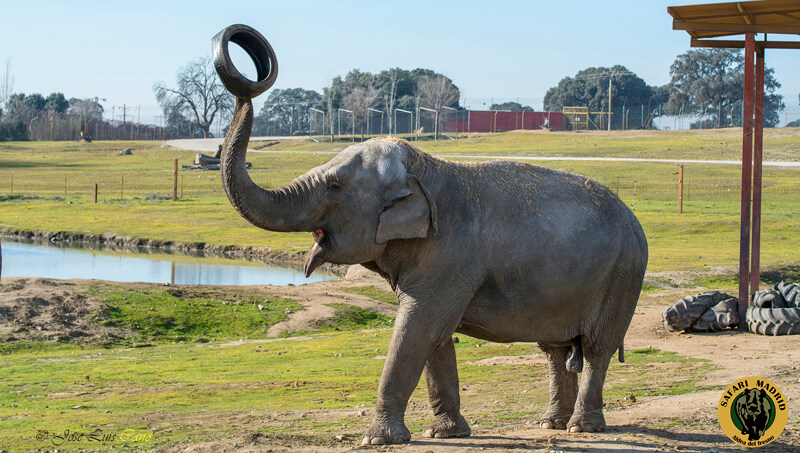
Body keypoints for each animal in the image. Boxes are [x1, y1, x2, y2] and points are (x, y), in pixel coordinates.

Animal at [209, 24, 648, 444]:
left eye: (334, 186)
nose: (245, 86)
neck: (426, 166)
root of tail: (634, 219)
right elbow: (436, 339)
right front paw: (445, 432)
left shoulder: (450, 258)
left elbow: (417, 329)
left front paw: (378, 439)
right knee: (555, 349)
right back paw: (550, 423)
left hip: (623, 274)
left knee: (596, 347)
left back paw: (582, 428)